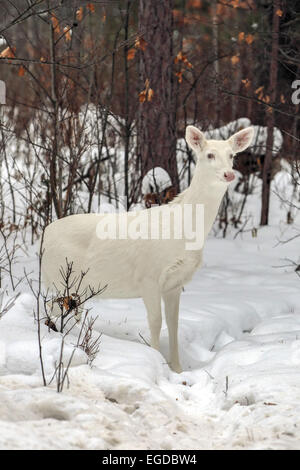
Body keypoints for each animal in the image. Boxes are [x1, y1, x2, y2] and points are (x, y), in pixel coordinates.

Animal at [42, 124, 253, 370]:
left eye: (232, 156)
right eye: (209, 155)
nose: (229, 174)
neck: (183, 231)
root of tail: (43, 236)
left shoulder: (175, 282)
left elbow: (173, 323)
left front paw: (177, 369)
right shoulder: (148, 276)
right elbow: (155, 321)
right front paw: (156, 361)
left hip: (77, 286)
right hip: (58, 277)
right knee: (51, 307)